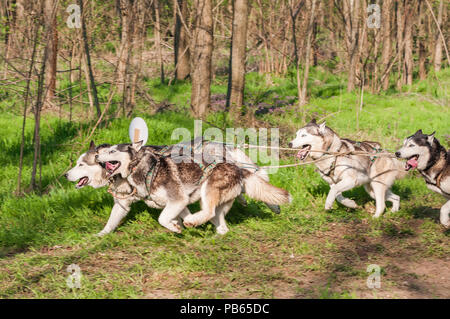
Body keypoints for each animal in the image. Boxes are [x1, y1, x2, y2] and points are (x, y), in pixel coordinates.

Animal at [66, 139, 284, 235]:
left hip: (209, 188)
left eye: (81, 164)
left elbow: (164, 218)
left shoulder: (177, 199)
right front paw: (101, 235)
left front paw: (177, 225)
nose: (65, 174)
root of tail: (222, 144)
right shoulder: (124, 204)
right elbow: (111, 222)